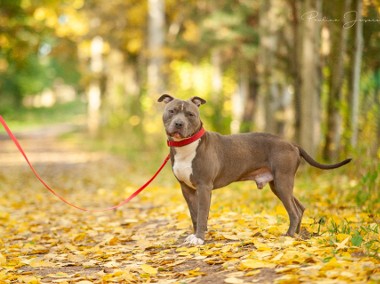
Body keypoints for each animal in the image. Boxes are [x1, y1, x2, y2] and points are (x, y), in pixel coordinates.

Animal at [157, 94, 350, 245]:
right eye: (172, 111)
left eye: (190, 114)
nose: (179, 123)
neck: (186, 146)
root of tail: (291, 143)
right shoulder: (187, 189)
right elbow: (194, 214)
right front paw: (195, 235)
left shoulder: (204, 187)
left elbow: (202, 213)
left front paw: (200, 238)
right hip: (278, 184)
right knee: (300, 207)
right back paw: (296, 234)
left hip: (283, 181)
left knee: (294, 211)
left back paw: (288, 236)